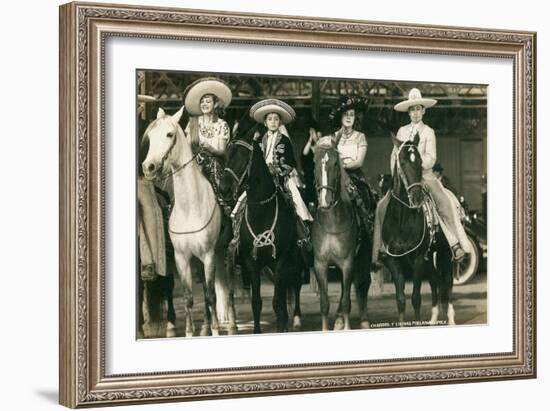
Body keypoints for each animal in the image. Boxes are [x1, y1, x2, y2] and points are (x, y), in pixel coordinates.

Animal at [142, 107, 237, 338]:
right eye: (150, 136)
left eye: (169, 134)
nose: (148, 167)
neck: (190, 209)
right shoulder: (182, 258)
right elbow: (188, 297)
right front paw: (189, 332)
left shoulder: (208, 255)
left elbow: (211, 295)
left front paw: (215, 331)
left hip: (226, 252)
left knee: (228, 289)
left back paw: (231, 325)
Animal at [312, 141, 374, 332]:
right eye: (315, 164)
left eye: (335, 164)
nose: (325, 201)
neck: (332, 222)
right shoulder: (320, 264)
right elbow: (324, 303)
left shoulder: (348, 263)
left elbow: (347, 300)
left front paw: (346, 327)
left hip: (363, 256)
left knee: (363, 284)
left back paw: (364, 320)